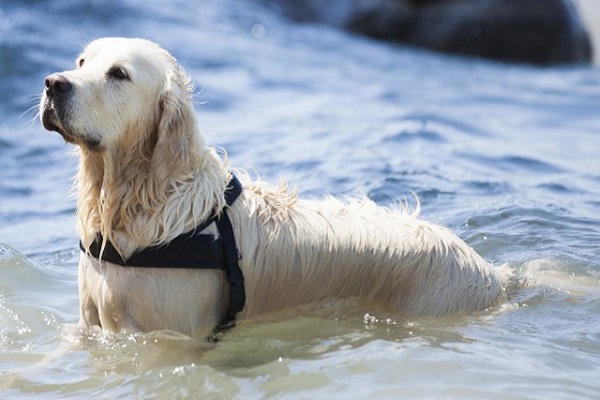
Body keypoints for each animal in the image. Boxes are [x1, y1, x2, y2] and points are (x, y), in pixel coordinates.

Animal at [39, 36, 508, 338]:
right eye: (81, 62)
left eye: (119, 73)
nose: (52, 83)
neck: (143, 197)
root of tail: (490, 274)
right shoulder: (89, 322)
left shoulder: (168, 336)